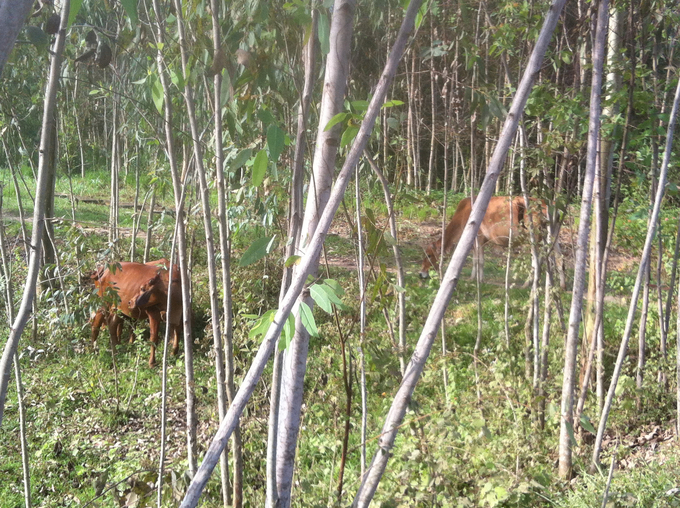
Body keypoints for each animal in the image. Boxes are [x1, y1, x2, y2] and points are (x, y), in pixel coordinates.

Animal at [420, 195, 548, 282]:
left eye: (429, 255)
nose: (421, 274)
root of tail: (543, 204)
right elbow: (478, 260)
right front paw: (476, 277)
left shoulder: (478, 238)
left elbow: (478, 260)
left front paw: (478, 279)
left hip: (532, 239)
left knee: (535, 262)